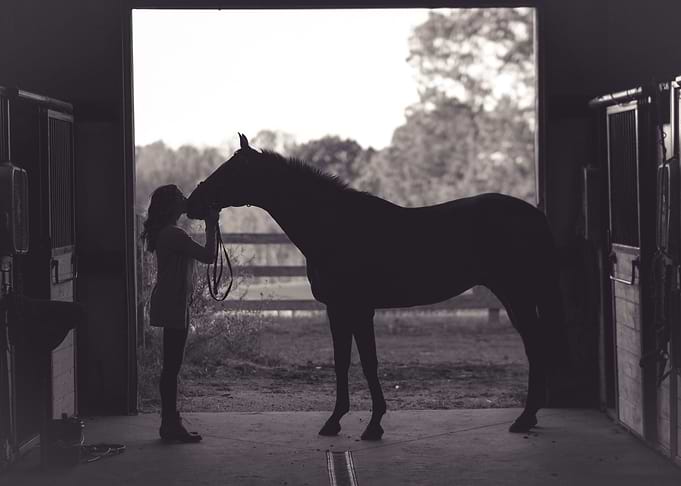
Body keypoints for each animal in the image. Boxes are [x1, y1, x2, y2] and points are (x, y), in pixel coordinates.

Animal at [187, 133, 564, 441]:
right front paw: (335, 421)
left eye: (230, 171)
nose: (192, 203)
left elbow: (368, 362)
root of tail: (534, 215)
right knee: (535, 346)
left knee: (536, 346)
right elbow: (341, 362)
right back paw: (528, 418)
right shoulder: (337, 309)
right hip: (515, 297)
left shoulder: (358, 308)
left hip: (517, 294)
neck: (335, 226)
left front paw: (373, 425)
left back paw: (524, 418)